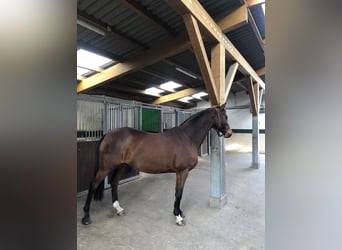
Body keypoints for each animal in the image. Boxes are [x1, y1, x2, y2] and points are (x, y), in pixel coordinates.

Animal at [82, 103, 232, 227]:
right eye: (225, 116)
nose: (229, 133)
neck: (187, 137)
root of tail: (108, 134)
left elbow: (179, 192)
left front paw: (180, 212)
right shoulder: (182, 171)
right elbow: (179, 193)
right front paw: (178, 216)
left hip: (121, 165)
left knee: (114, 183)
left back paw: (118, 208)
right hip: (105, 167)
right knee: (93, 185)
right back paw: (86, 217)